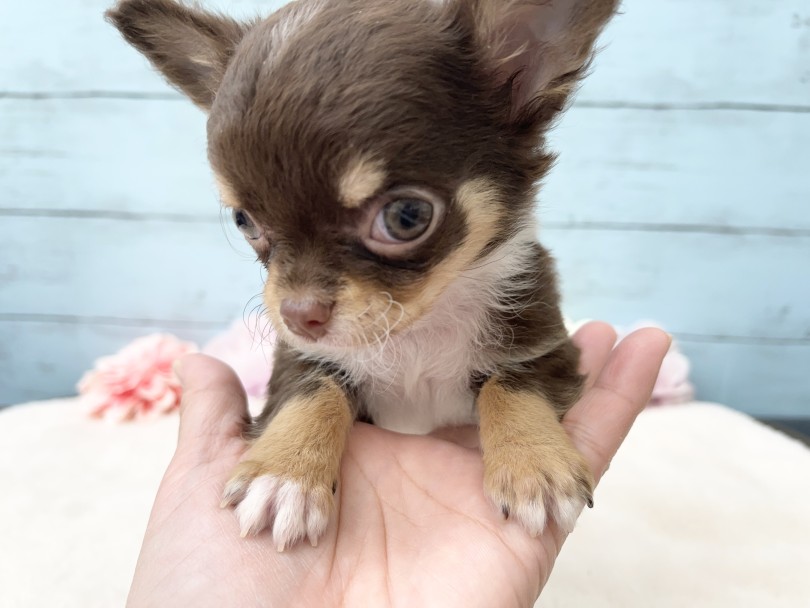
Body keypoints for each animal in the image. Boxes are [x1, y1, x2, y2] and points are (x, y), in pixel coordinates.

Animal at [105, 0, 612, 552]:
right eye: (245, 222)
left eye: (407, 216)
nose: (299, 315)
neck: (417, 330)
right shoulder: (303, 357)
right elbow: (315, 392)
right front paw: (285, 474)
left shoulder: (543, 342)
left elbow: (512, 384)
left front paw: (532, 464)